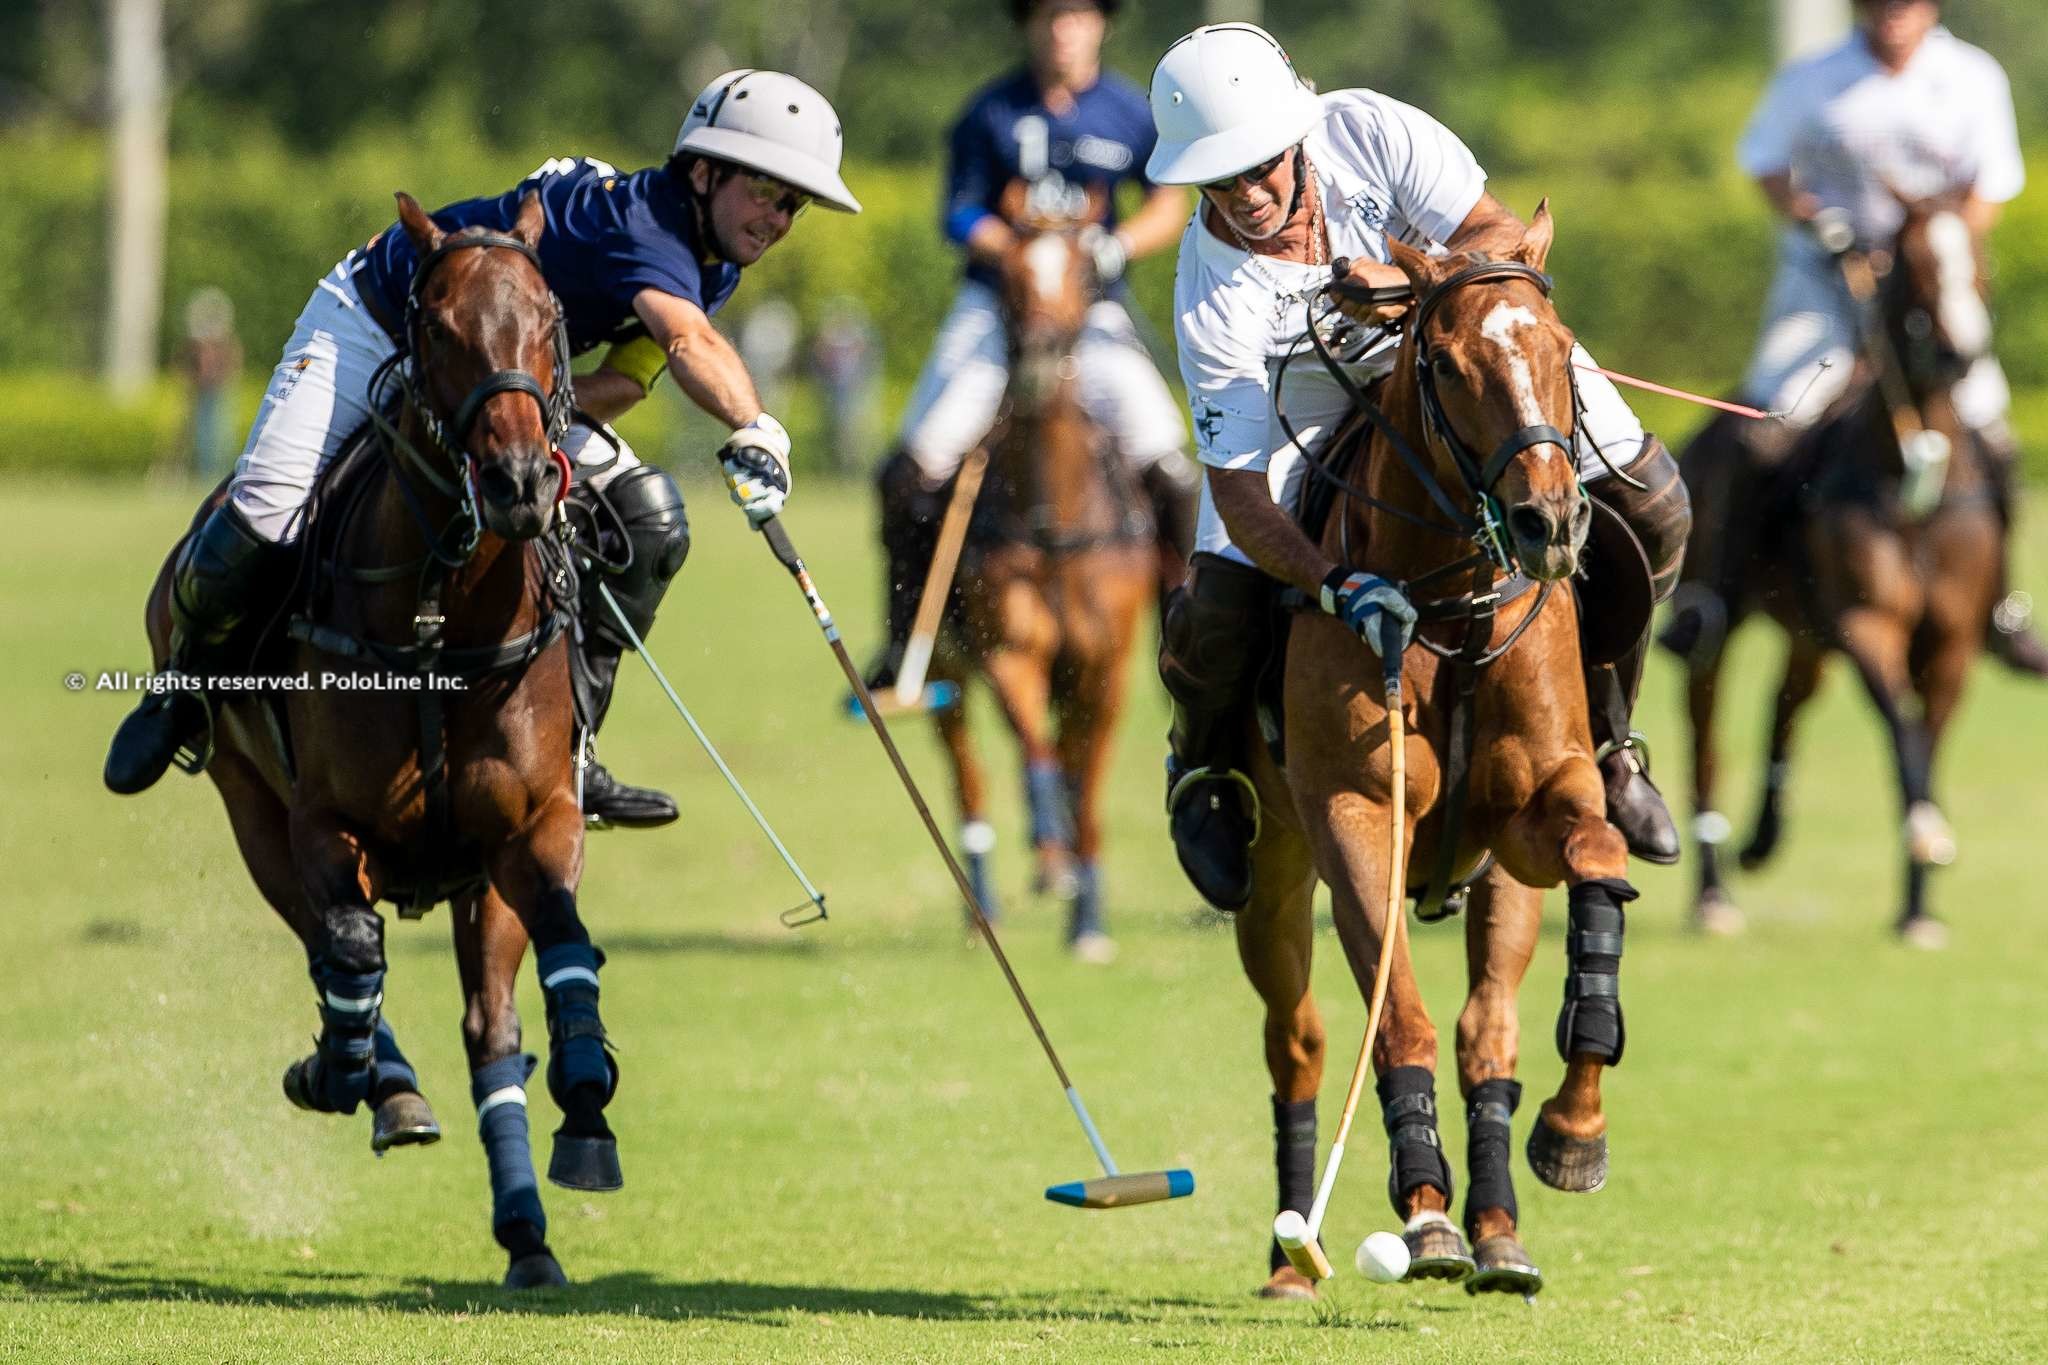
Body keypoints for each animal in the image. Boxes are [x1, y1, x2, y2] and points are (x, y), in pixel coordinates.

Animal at [139, 194, 614, 1293]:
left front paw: (586, 1098)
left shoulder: (533, 826)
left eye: (551, 319)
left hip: (474, 883)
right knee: (332, 945)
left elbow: (563, 942)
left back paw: (526, 1230)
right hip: (251, 813)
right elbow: (349, 955)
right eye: (435, 327)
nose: (519, 483)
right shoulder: (321, 826)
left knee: (489, 1028)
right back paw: (379, 1081)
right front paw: (342, 1072)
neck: (441, 609)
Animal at [933, 184, 1163, 961]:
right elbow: (1035, 748)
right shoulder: (1007, 647)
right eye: (1006, 274)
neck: (1051, 520)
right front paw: (1049, 850)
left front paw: (1088, 920)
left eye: (1087, 272)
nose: (1038, 358)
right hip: (944, 672)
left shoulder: (1106, 667)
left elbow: (1085, 784)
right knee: (969, 777)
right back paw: (984, 908)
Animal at [1236, 205, 1638, 1301]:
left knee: (1486, 1032)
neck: (1451, 607)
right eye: (1450, 365)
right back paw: (1294, 1254)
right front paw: (1422, 1213)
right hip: (1271, 873)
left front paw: (1574, 1132)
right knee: (1299, 1040)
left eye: (1560, 350)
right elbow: (1396, 1020)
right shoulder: (1354, 817)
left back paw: (1501, 1234)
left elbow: (1599, 864)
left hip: (1496, 878)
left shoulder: (1542, 804)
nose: (1551, 523)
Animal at [1662, 192, 1998, 945]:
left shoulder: (1951, 642)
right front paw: (1928, 840)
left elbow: (1927, 743)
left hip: (1807, 633)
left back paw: (1761, 841)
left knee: (1783, 703)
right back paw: (1713, 891)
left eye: (1980, 254)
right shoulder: (1866, 623)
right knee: (1705, 738)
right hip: (1720, 625)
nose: (1960, 355)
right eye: (1919, 261)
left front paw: (1917, 907)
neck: (1914, 473)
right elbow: (1902, 732)